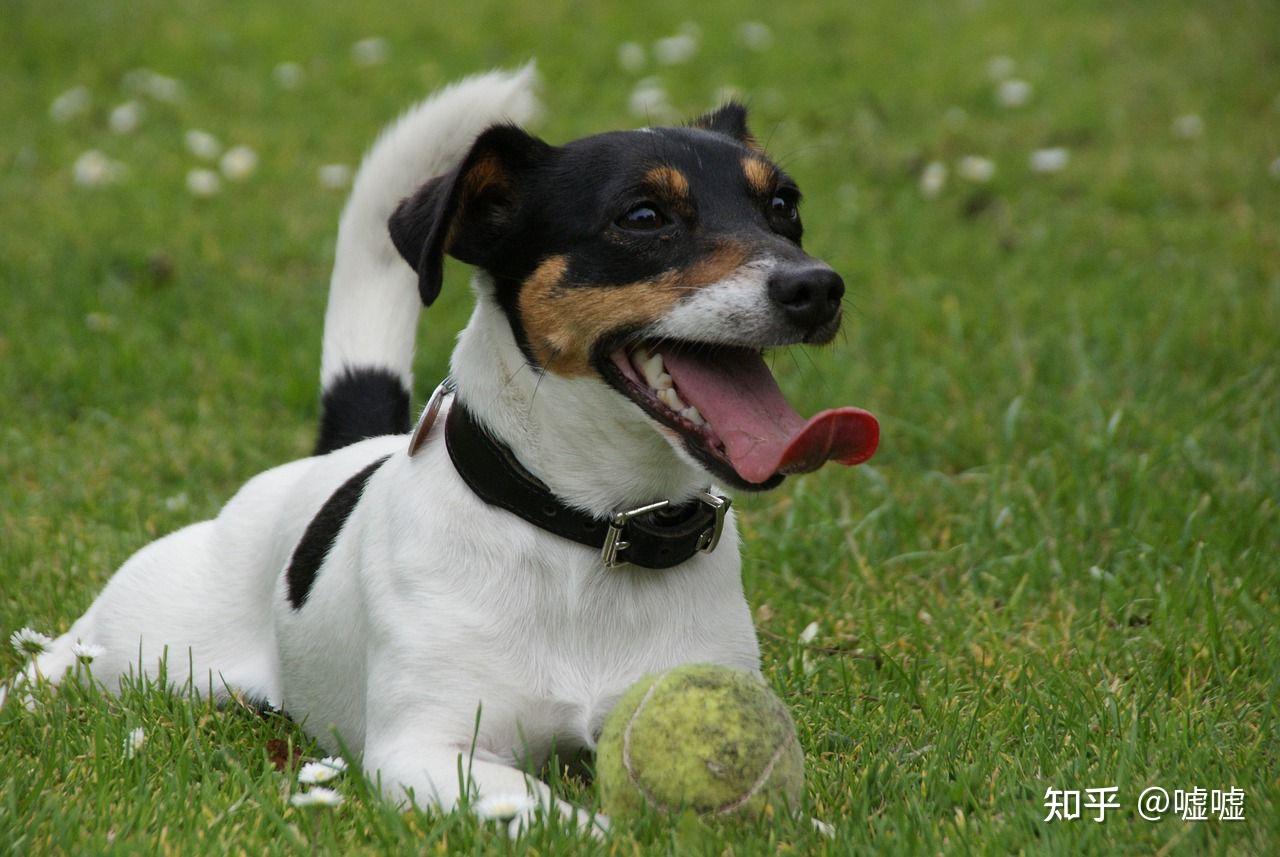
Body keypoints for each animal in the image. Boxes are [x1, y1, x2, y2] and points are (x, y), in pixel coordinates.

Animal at [5, 68, 875, 839]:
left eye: (784, 205)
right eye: (643, 215)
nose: (817, 287)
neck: (592, 533)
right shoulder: (427, 750)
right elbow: (559, 813)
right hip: (138, 641)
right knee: (61, 654)